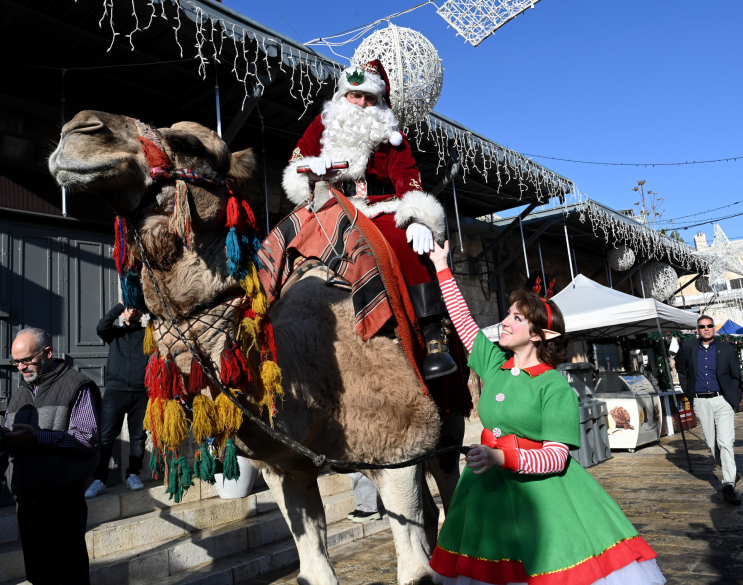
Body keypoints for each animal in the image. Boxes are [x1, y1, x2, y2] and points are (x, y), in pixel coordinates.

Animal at [48, 110, 464, 584]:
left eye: (191, 145)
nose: (80, 130)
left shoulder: (401, 445)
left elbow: (416, 571)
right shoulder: (285, 467)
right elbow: (314, 571)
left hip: (447, 417)